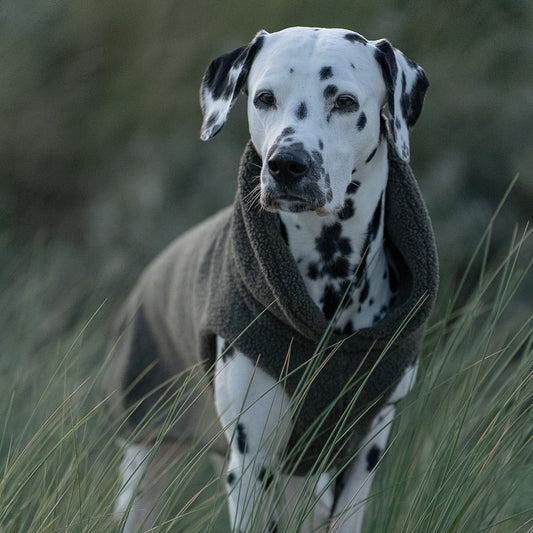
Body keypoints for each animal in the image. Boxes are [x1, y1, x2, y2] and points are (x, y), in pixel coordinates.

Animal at [109, 26, 436, 532]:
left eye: (344, 101)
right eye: (265, 97)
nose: (287, 163)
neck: (329, 284)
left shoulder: (362, 456)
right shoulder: (251, 462)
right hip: (147, 457)